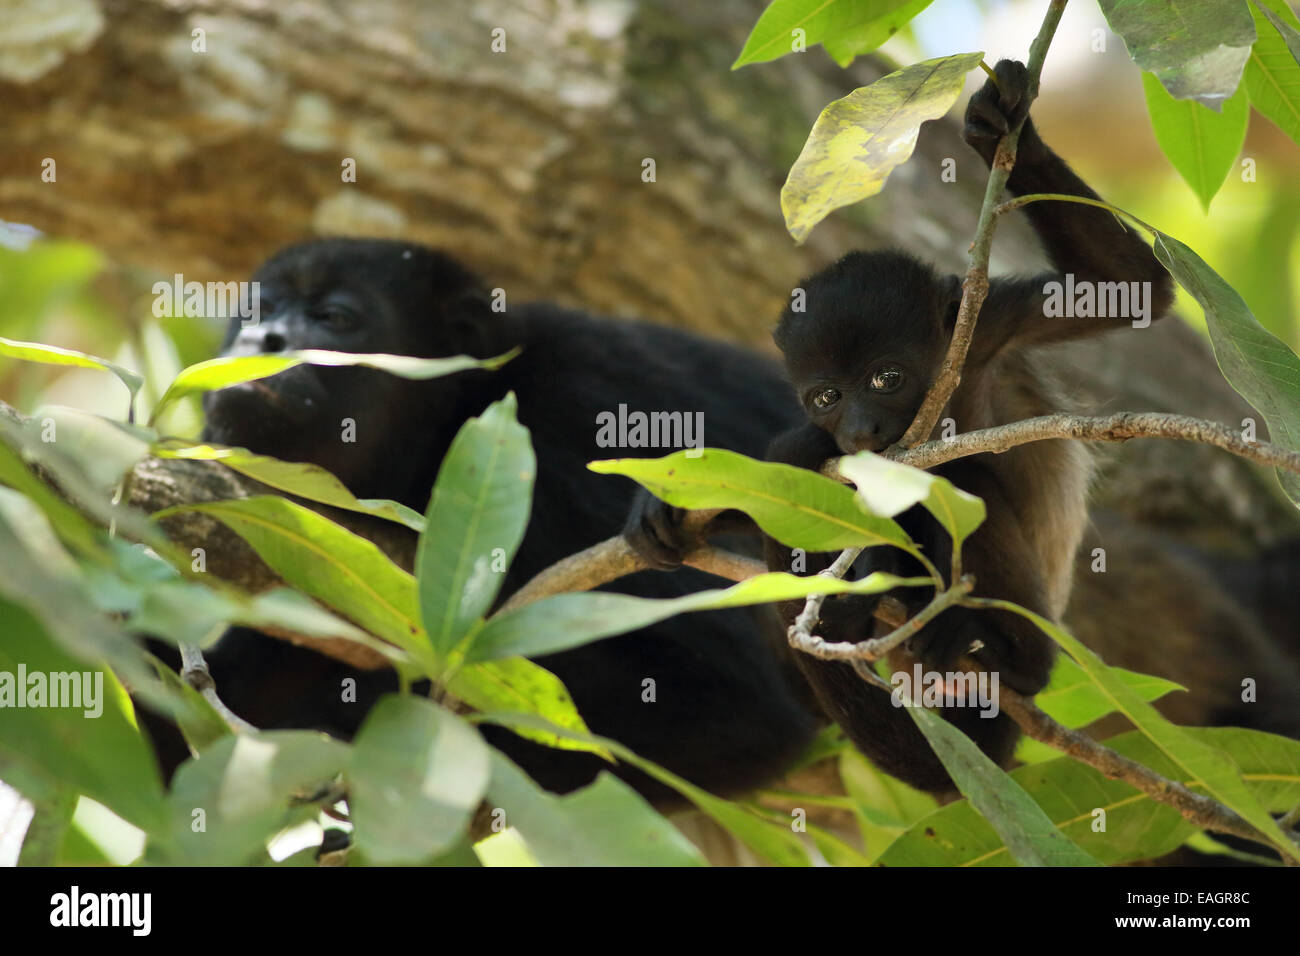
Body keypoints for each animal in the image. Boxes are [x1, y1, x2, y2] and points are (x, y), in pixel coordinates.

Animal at [629, 61, 1180, 790]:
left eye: (886, 378)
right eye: (827, 395)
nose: (861, 430)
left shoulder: (990, 322)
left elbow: (1132, 287)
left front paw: (1004, 129)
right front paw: (662, 507)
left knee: (965, 482)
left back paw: (1009, 656)